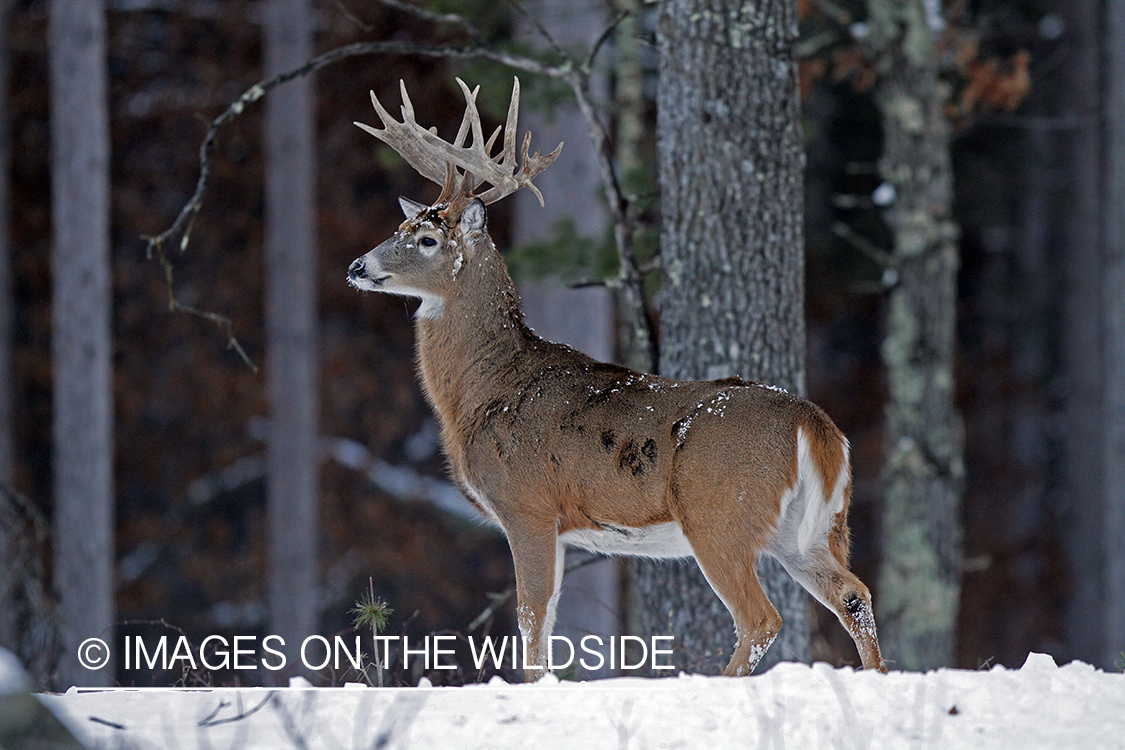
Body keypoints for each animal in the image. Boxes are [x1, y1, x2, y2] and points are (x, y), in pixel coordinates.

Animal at [344, 76, 886, 679]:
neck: (484, 393)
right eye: (400, 226)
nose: (358, 267)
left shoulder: (527, 504)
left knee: (761, 618)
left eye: (428, 240)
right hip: (814, 528)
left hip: (720, 512)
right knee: (855, 595)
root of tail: (817, 426)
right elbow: (546, 620)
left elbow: (531, 620)